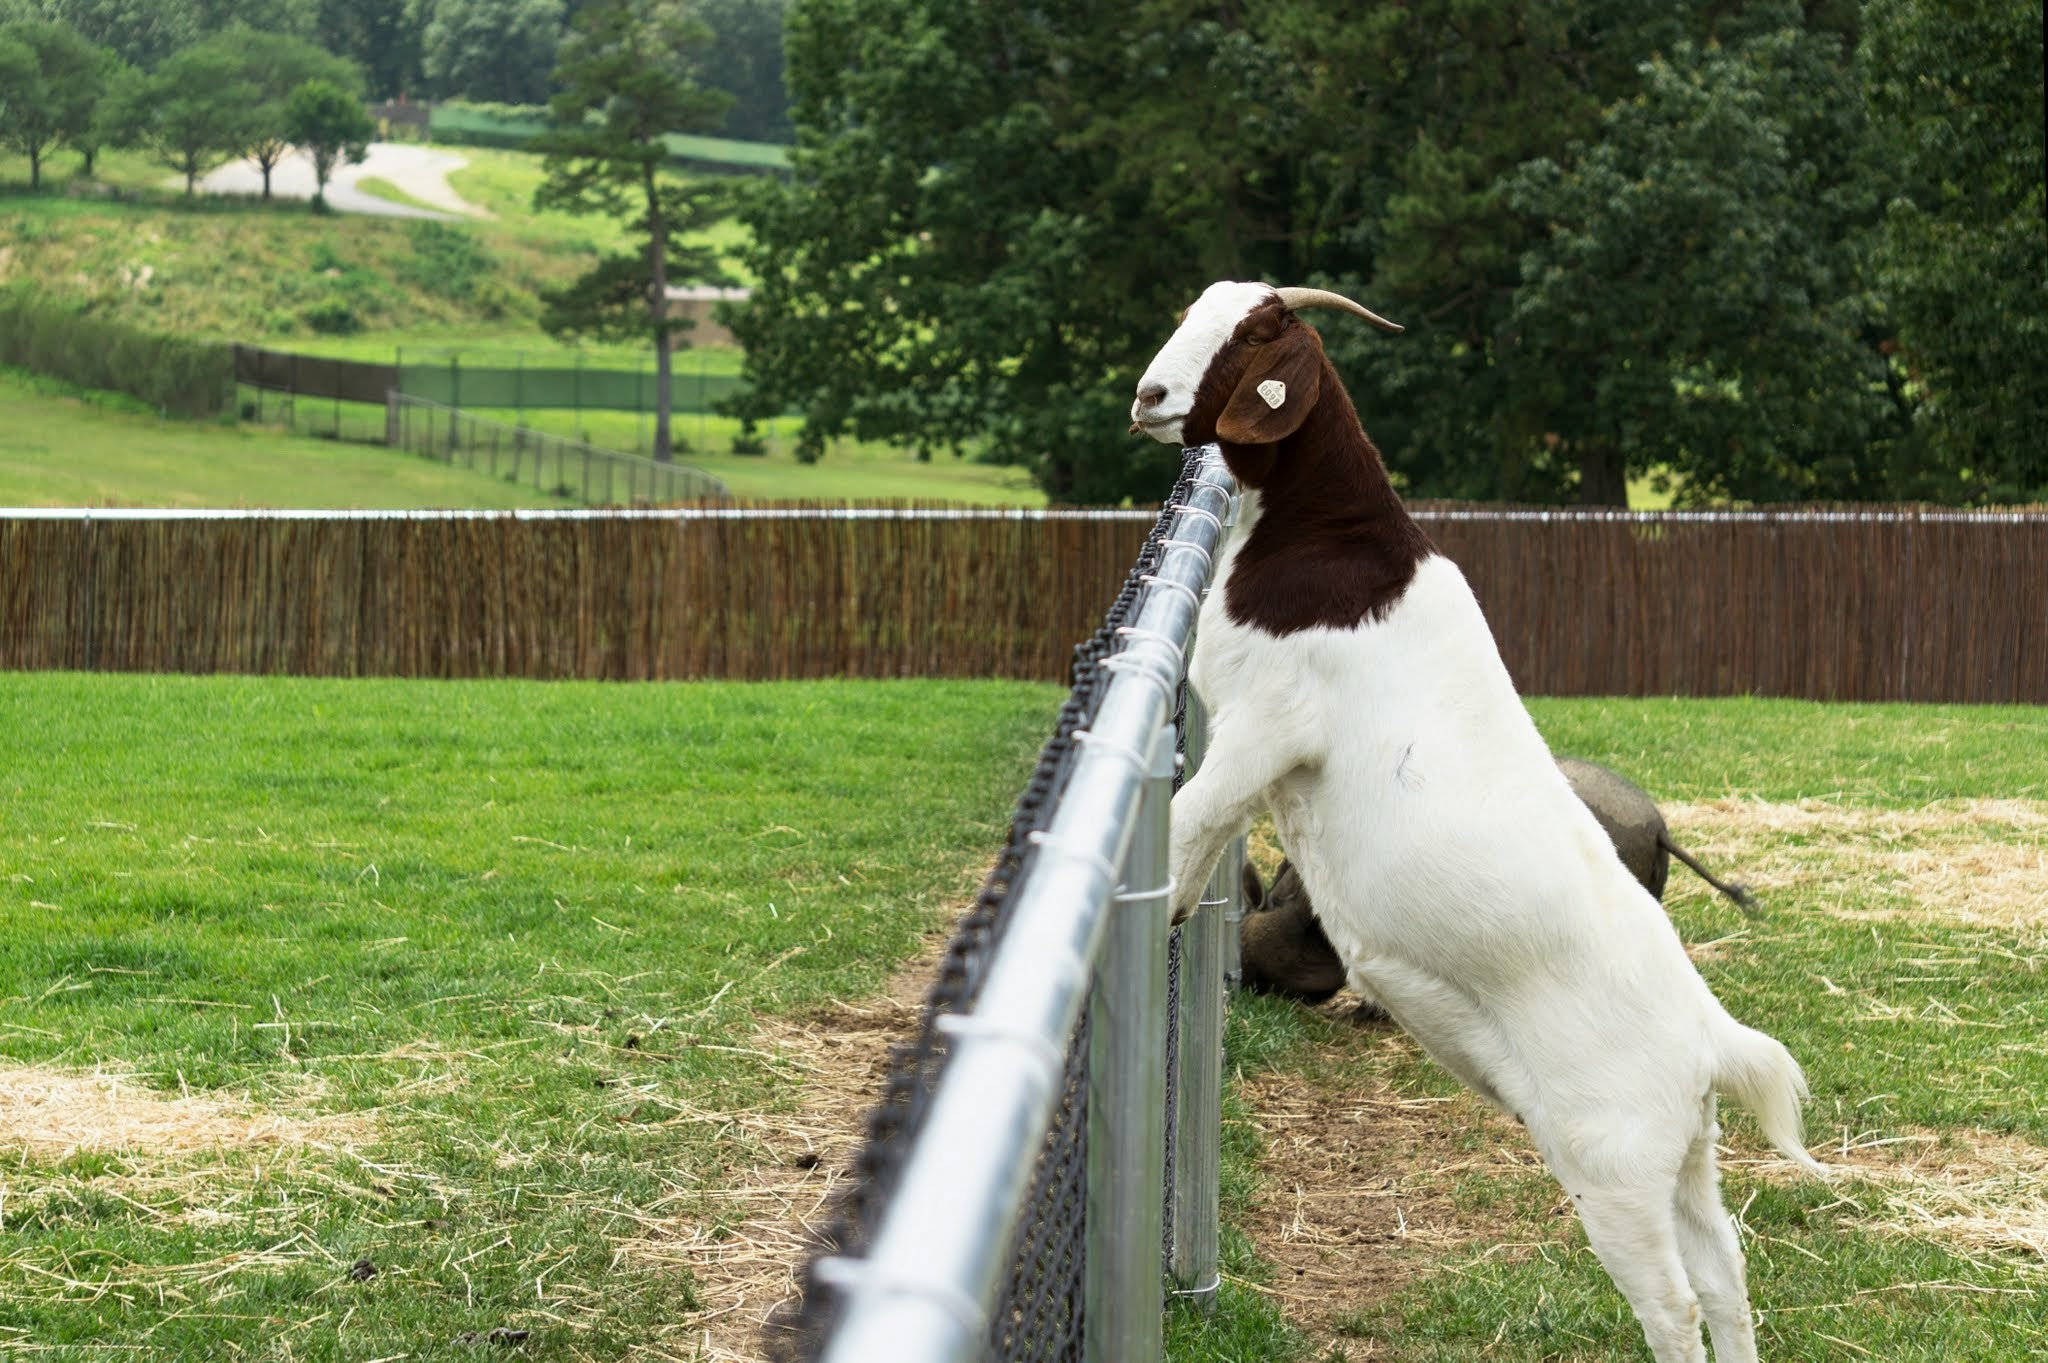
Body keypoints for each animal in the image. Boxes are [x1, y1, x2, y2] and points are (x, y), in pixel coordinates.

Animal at [1138, 278, 1826, 1358]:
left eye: (1252, 334)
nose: (1148, 396)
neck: (1339, 548)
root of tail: (1712, 1039)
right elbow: (1205, 836)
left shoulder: (1269, 726)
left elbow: (1191, 816)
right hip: (1681, 1154)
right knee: (1724, 1273)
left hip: (1611, 1161)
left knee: (1674, 1303)